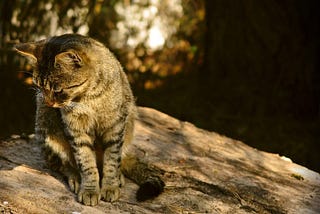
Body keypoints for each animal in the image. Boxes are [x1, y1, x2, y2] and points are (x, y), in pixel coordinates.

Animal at [14, 33, 162, 206]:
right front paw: (90, 189)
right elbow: (86, 162)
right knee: (62, 164)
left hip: (129, 125)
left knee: (119, 159)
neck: (88, 98)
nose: (48, 102)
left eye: (58, 90)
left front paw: (110, 186)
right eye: (39, 86)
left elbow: (112, 160)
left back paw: (118, 176)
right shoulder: (76, 129)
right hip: (46, 128)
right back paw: (76, 178)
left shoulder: (115, 126)